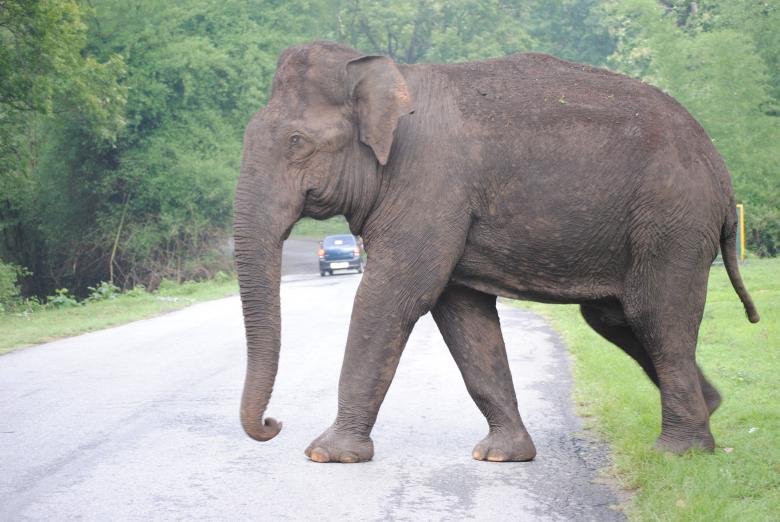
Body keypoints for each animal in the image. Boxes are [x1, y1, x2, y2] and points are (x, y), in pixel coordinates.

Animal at [233, 40, 760, 463]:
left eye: (296, 142)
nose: (272, 425)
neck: (391, 76)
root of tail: (720, 167)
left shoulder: (429, 186)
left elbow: (392, 297)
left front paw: (326, 454)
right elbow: (462, 314)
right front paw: (502, 456)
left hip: (673, 220)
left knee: (655, 316)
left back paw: (679, 452)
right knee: (614, 318)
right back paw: (710, 410)